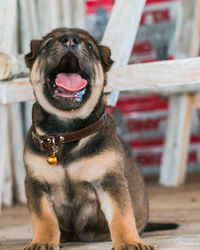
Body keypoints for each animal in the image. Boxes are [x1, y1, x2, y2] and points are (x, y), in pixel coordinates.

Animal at [23, 27, 153, 250]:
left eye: (90, 46)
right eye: (48, 44)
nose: (69, 39)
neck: (66, 130)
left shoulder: (109, 179)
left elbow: (121, 215)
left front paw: (129, 241)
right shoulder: (36, 182)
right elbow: (44, 218)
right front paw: (43, 241)